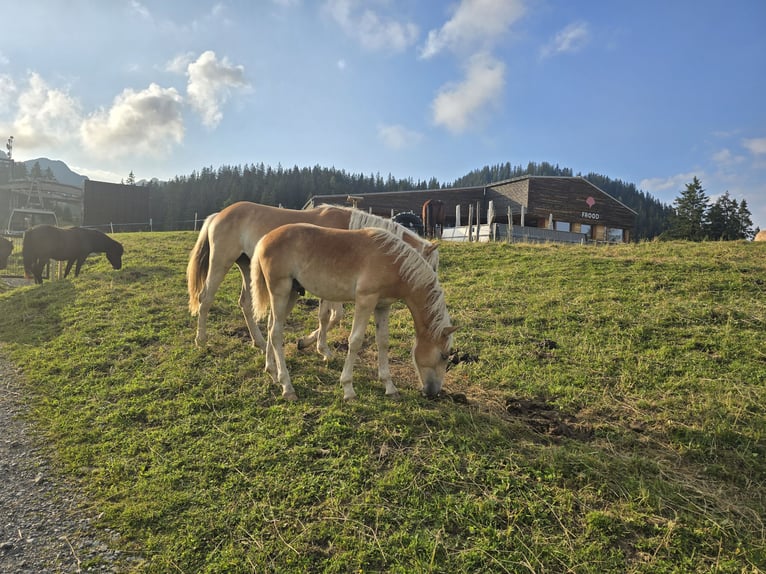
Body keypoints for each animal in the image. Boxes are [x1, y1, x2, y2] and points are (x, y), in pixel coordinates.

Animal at [186, 202, 438, 356]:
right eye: (431, 267)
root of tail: (218, 215)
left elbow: (332, 316)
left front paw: (309, 343)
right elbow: (329, 316)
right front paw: (320, 348)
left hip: (247, 267)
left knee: (246, 304)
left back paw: (259, 342)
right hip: (221, 262)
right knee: (205, 298)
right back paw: (201, 340)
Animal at [252, 223, 456, 402]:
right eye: (444, 355)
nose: (433, 392)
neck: (394, 262)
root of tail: (264, 239)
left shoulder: (382, 306)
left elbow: (383, 341)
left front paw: (389, 387)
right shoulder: (365, 301)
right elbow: (355, 341)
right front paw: (348, 389)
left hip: (291, 294)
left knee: (270, 326)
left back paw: (272, 371)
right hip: (280, 292)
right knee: (276, 333)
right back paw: (287, 386)